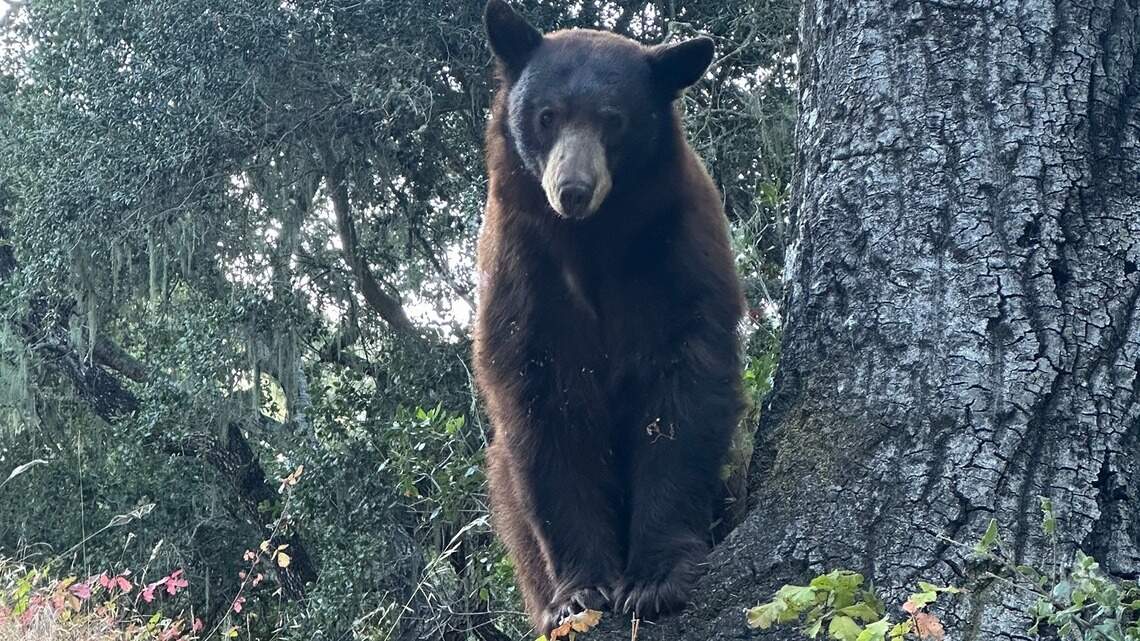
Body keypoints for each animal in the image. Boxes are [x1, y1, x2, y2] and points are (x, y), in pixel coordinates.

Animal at [473, 0, 745, 635]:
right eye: (547, 116)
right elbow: (544, 411)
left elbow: (683, 390)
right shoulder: (525, 272)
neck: (590, 242)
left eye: (613, 120)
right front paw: (578, 595)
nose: (572, 190)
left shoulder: (673, 250)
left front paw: (655, 578)